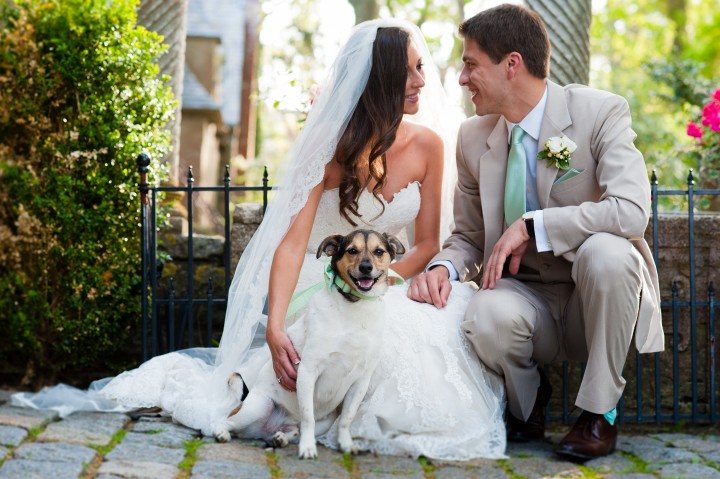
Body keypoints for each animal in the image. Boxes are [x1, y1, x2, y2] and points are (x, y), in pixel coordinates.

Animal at [212, 231, 404, 460]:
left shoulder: (361, 382)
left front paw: (346, 444)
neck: (354, 307)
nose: (366, 267)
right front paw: (308, 448)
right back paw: (221, 433)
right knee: (227, 421)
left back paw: (280, 437)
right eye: (352, 250)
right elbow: (308, 417)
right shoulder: (308, 371)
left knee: (295, 430)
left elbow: (346, 419)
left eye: (379, 251)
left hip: (325, 421)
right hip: (257, 407)